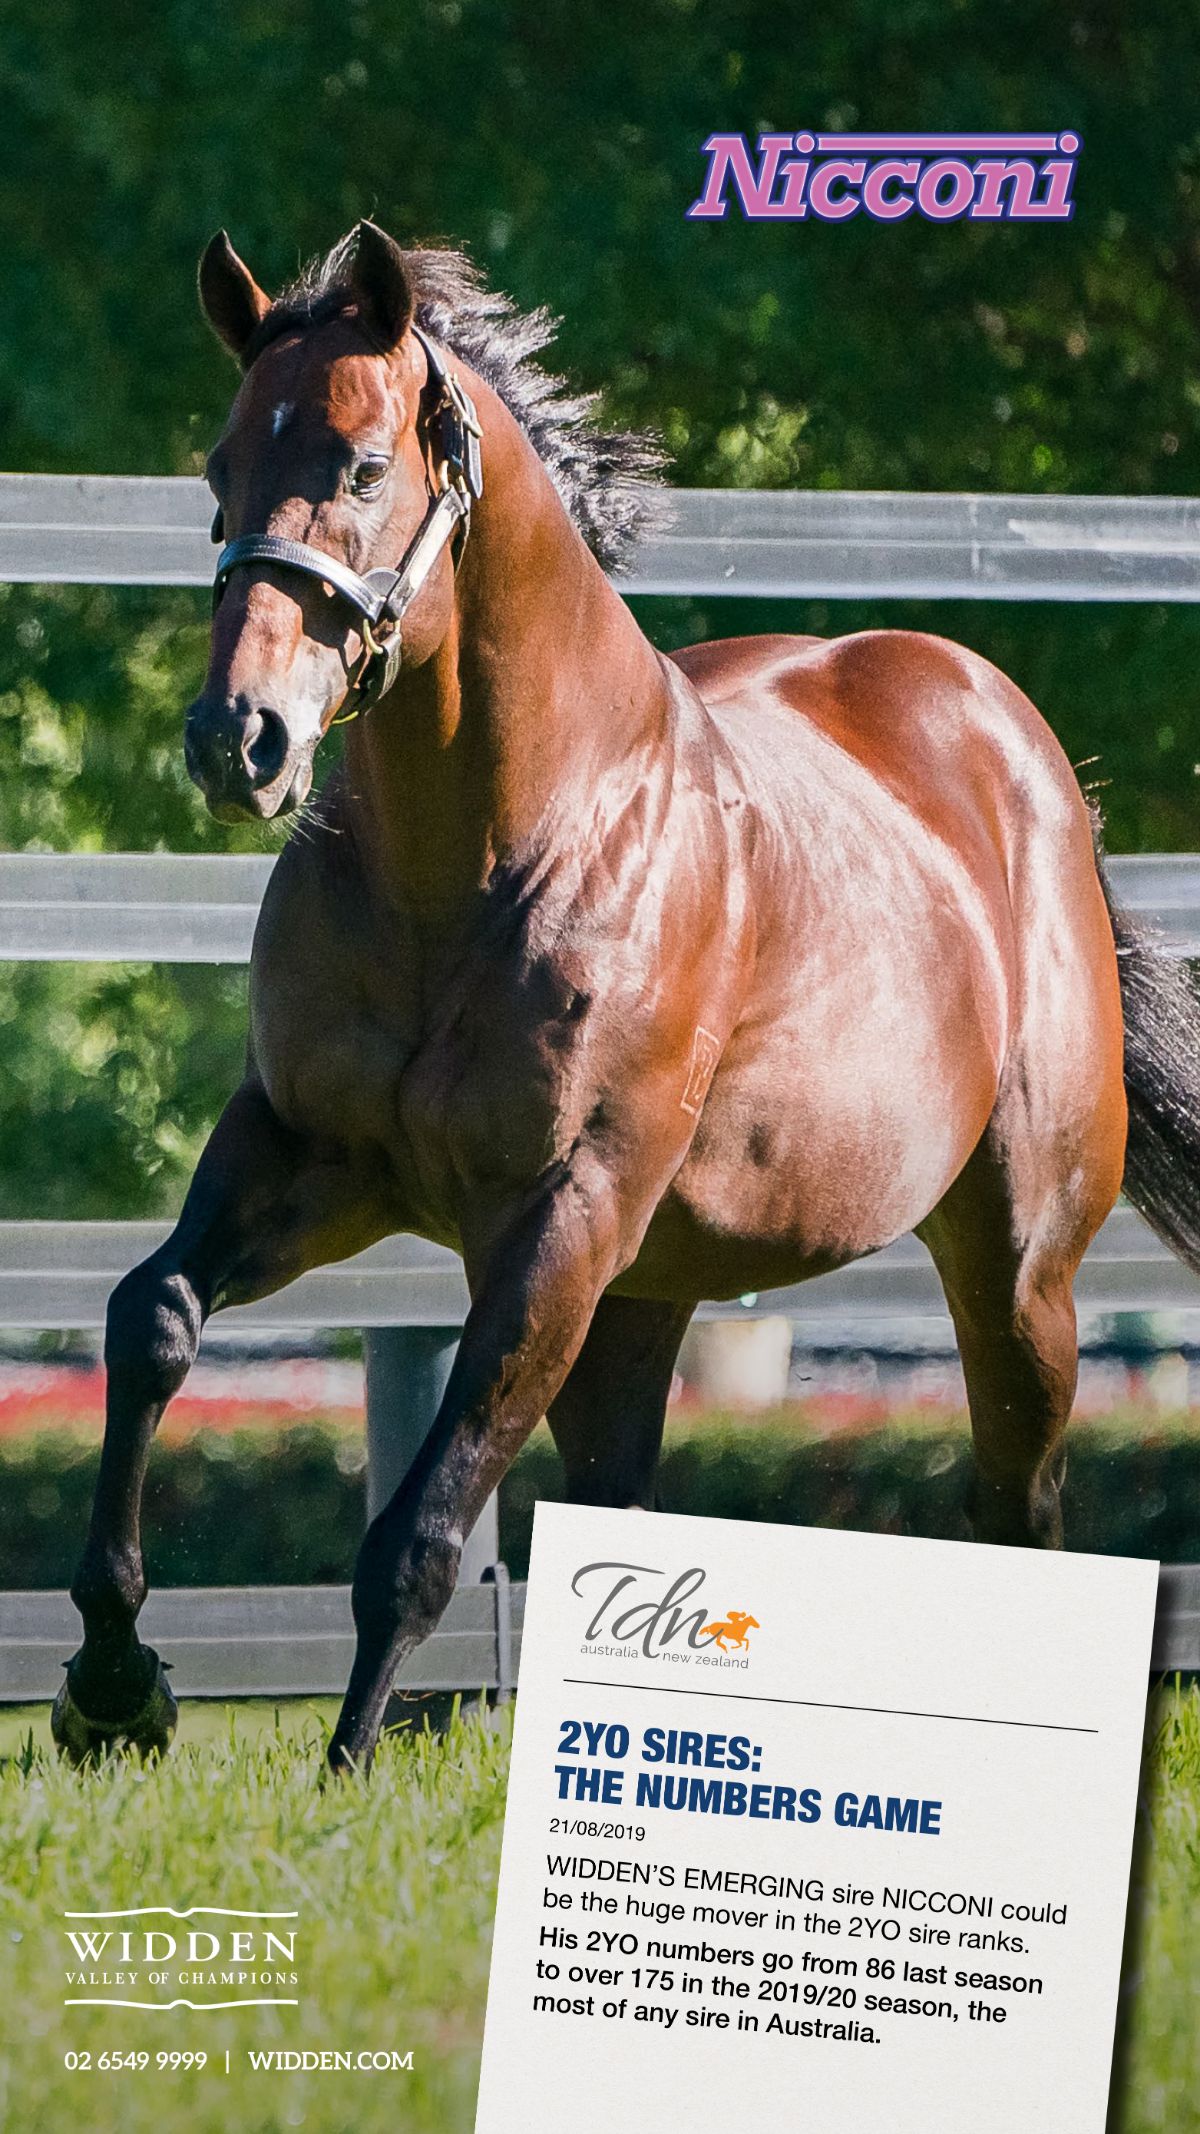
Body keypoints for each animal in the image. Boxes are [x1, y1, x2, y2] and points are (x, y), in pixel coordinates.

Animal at [53, 218, 1200, 1774]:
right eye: (219, 470)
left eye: (362, 466)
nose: (240, 740)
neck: (491, 855)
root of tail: (1037, 777)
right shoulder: (311, 1156)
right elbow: (152, 1317)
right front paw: (113, 1686)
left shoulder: (561, 1217)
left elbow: (420, 1533)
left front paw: (343, 1769)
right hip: (647, 1295)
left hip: (1014, 1268)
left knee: (1018, 1507)